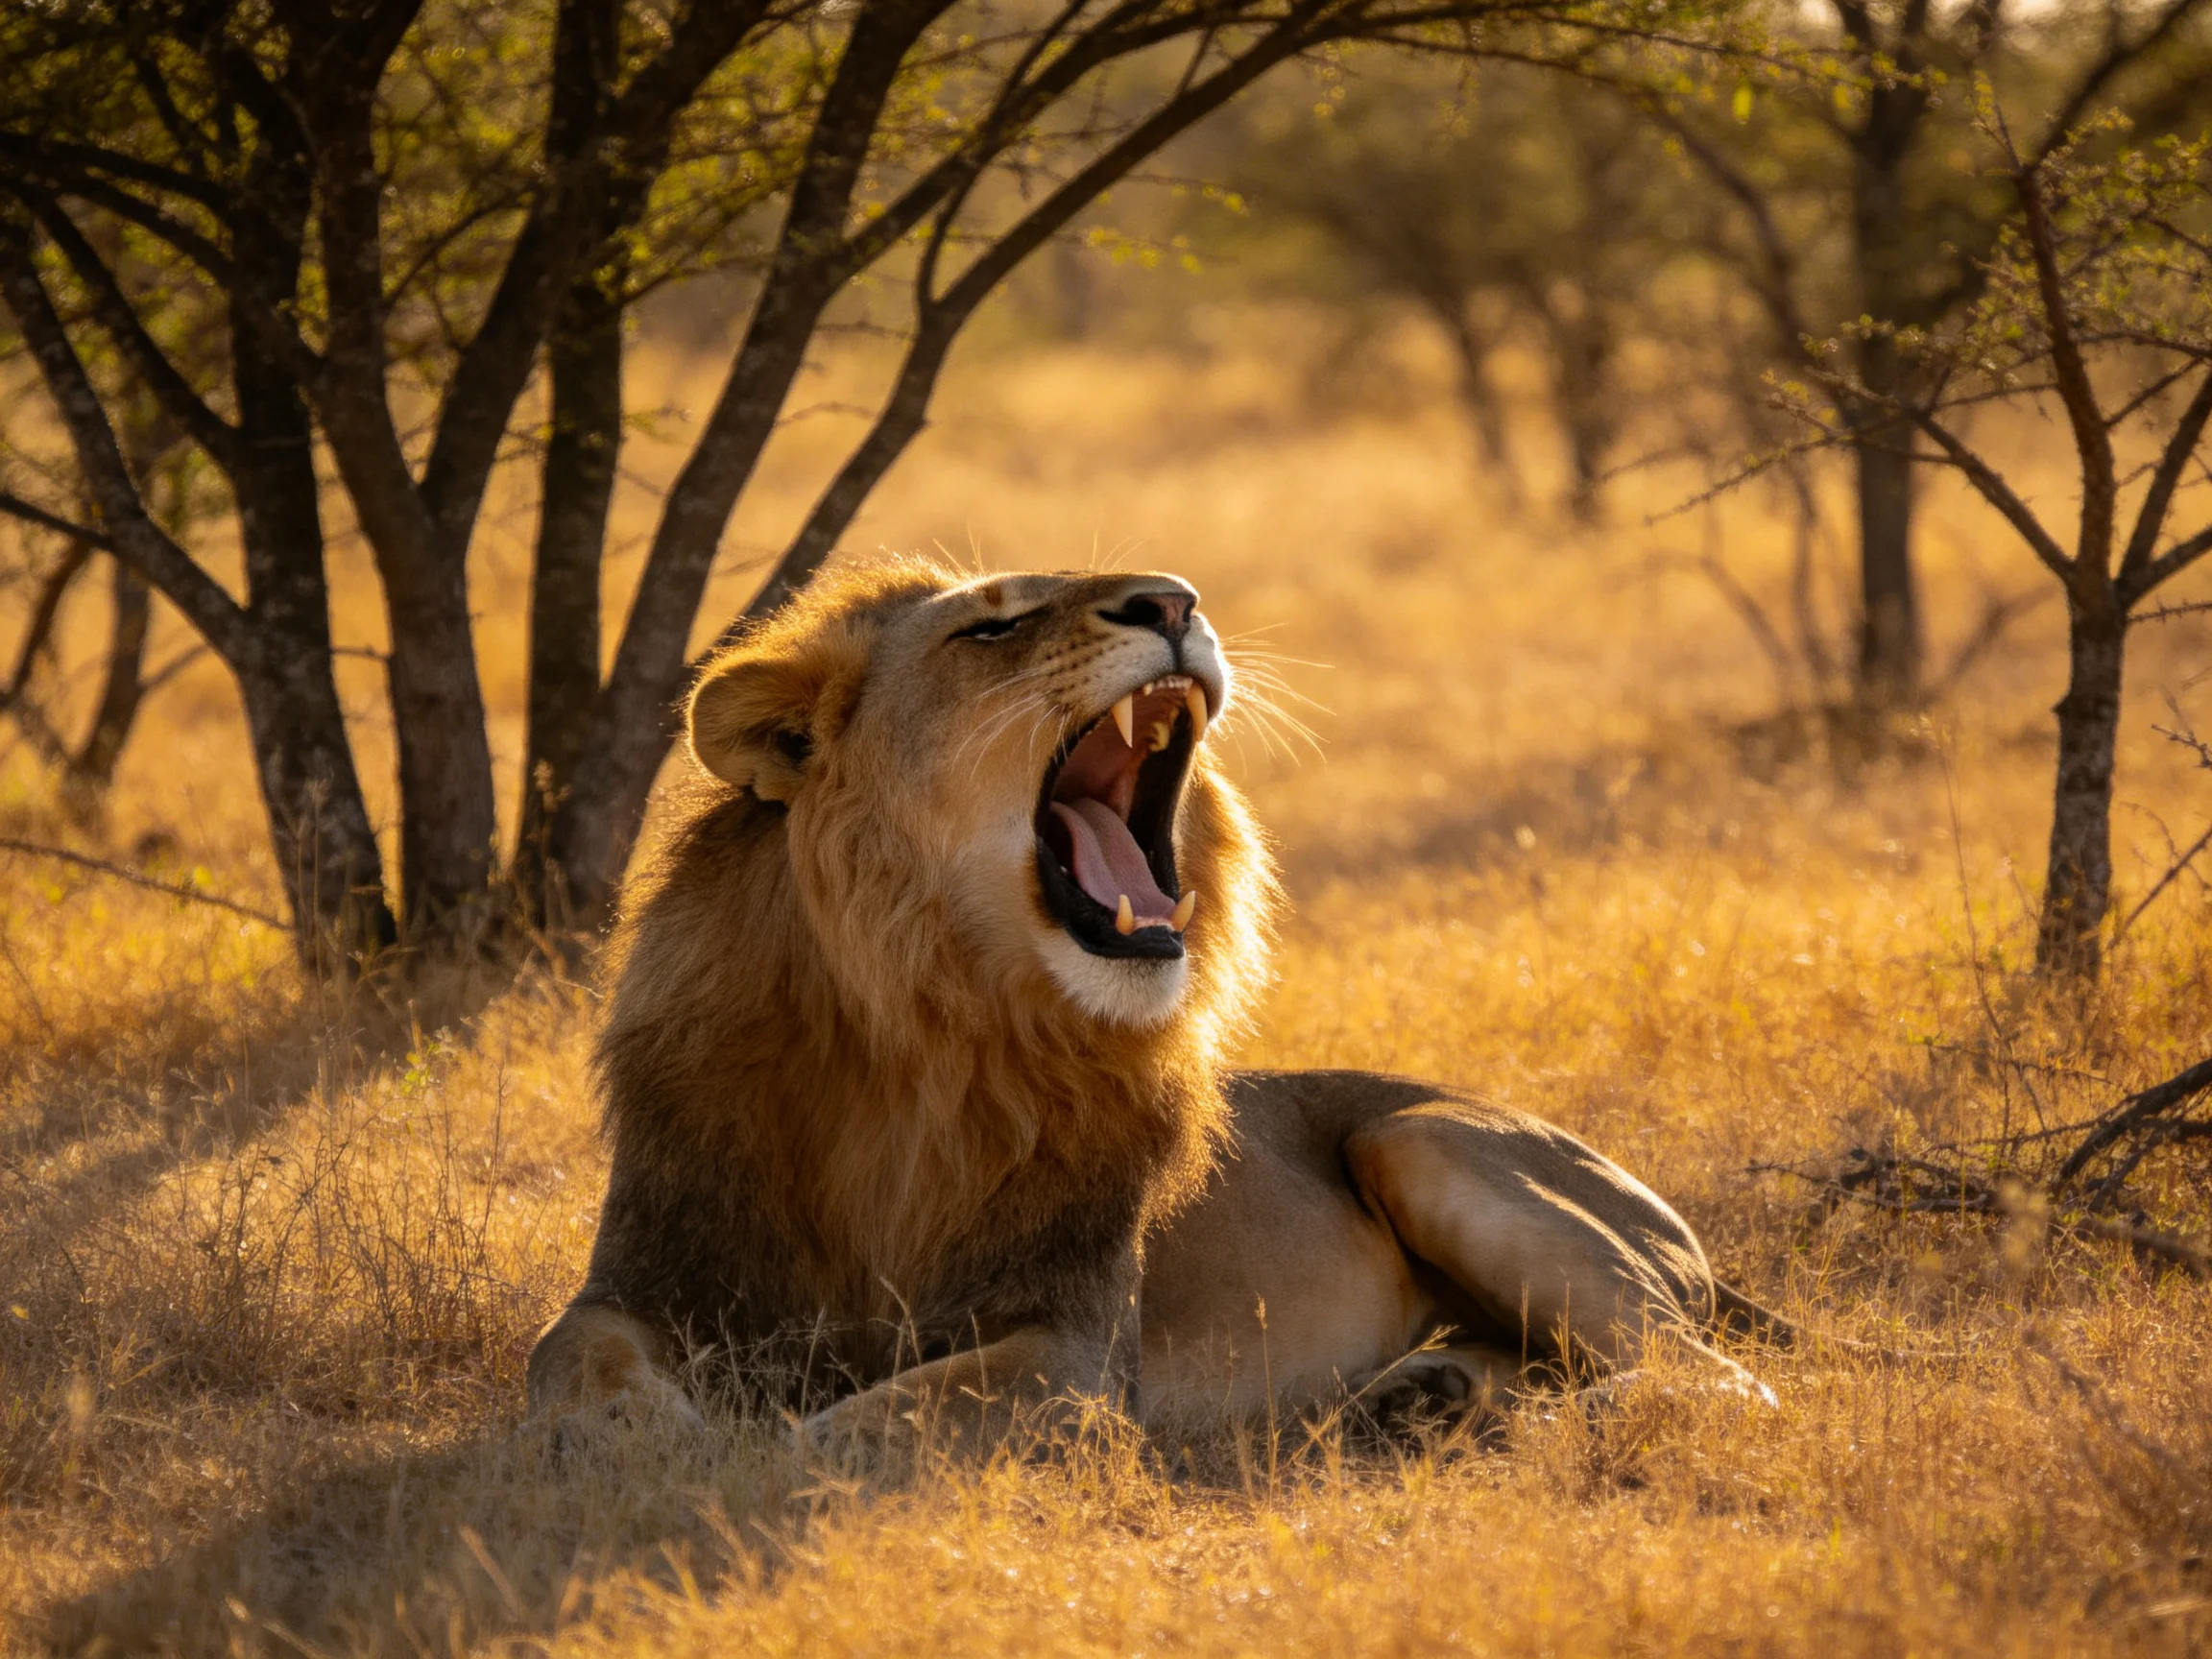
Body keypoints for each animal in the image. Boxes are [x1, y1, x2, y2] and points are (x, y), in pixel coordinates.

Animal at [527, 561, 1781, 1452]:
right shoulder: (653, 1266)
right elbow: (565, 1355)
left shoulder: (1073, 1347)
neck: (920, 1032)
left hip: (1422, 1139)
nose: (1175, 599)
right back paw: (1429, 1395)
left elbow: (890, 1416)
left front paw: (764, 1455)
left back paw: (1538, 1417)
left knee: (1715, 1378)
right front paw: (645, 1436)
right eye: (989, 629)